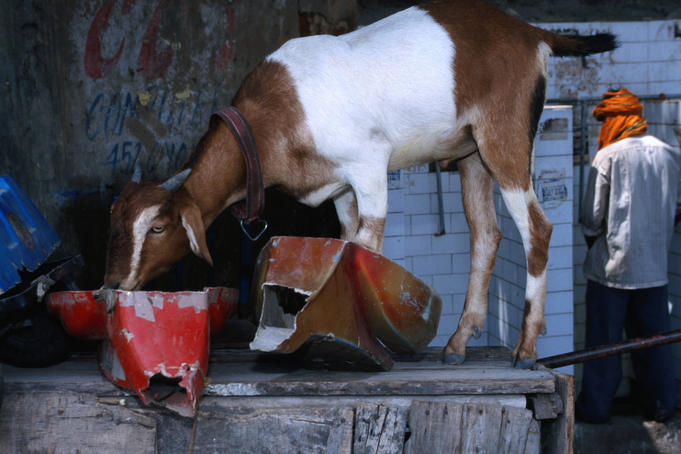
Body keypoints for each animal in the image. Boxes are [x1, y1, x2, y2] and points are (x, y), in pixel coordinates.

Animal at [104, 0, 616, 367]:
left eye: (158, 227)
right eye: (117, 223)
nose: (114, 281)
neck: (276, 115)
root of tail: (532, 34)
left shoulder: (369, 167)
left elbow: (367, 247)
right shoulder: (340, 190)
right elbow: (346, 245)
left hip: (503, 140)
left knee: (537, 229)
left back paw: (526, 349)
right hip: (471, 155)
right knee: (487, 235)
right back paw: (458, 342)